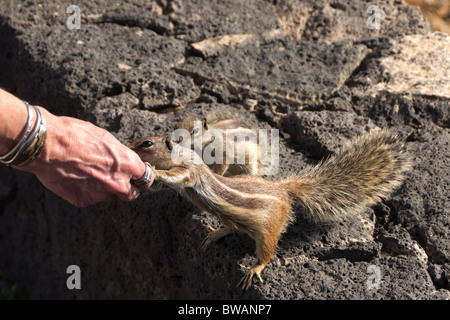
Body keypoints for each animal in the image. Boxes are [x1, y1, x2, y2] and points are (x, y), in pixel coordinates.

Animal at [129, 129, 412, 288]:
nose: (129, 148)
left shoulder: (189, 170)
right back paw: (216, 233)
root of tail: (283, 189)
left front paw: (154, 171)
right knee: (231, 227)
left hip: (267, 230)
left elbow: (177, 176)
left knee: (267, 253)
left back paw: (255, 268)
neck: (180, 154)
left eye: (147, 143)